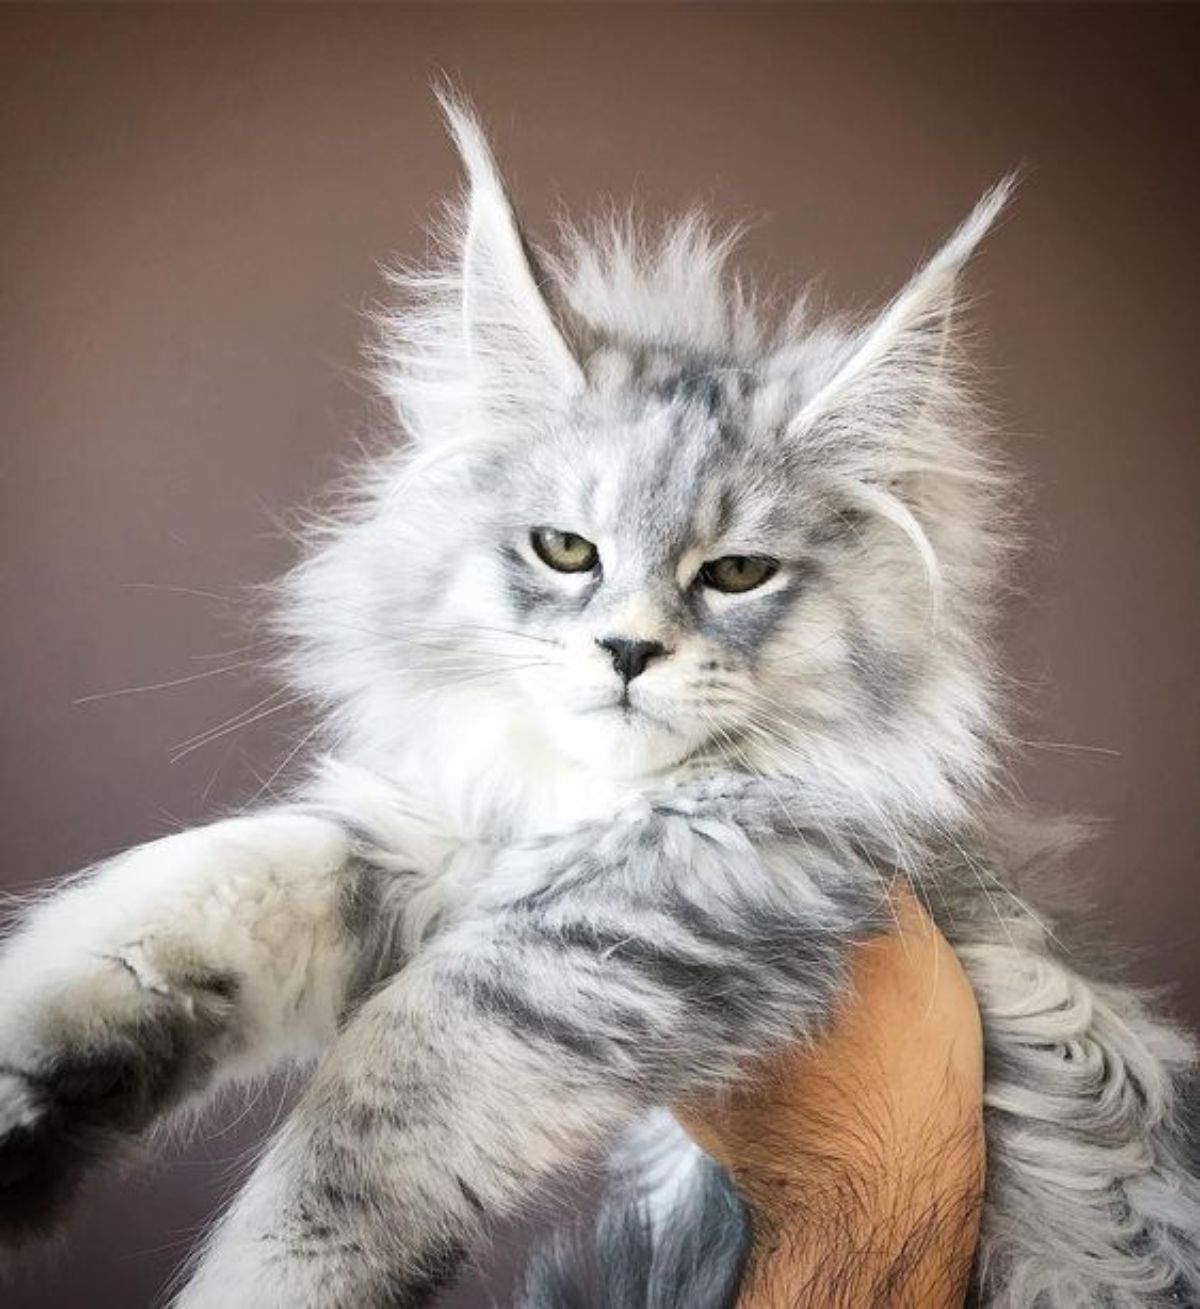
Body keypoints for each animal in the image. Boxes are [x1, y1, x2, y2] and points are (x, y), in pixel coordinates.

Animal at [2, 94, 1198, 1309]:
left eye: (736, 573)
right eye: (567, 549)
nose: (628, 649)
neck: (579, 800)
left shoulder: (651, 910)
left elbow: (370, 1106)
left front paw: (264, 1276)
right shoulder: (431, 835)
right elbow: (186, 897)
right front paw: (27, 1087)